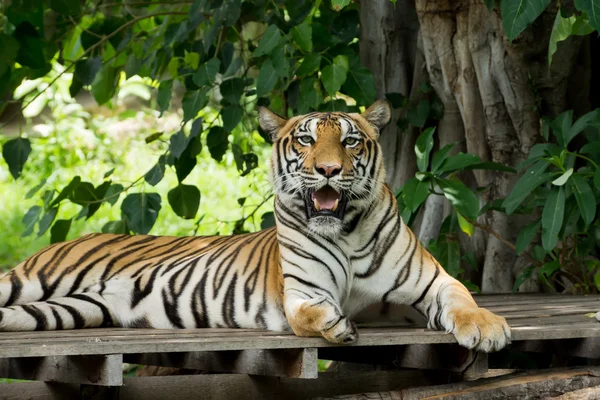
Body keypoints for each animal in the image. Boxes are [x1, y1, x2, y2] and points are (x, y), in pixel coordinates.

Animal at [0, 101, 510, 352]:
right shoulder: (302, 292)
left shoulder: (431, 281)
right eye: (305, 140)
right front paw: (336, 324)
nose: (328, 170)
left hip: (70, 309)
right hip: (28, 280)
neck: (345, 232)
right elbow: (310, 315)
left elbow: (463, 300)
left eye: (350, 141)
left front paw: (488, 328)